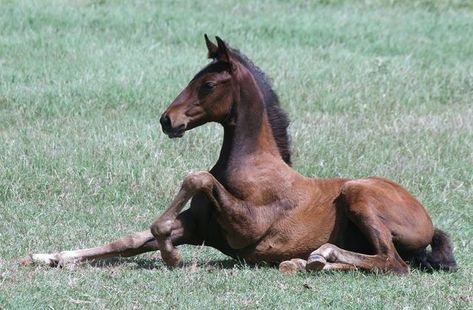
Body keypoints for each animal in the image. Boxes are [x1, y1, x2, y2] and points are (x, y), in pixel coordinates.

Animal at [24, 35, 456, 274]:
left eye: (208, 84)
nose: (167, 120)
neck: (250, 167)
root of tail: (430, 222)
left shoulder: (247, 228)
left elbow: (195, 179)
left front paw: (171, 257)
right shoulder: (198, 228)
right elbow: (128, 239)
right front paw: (49, 256)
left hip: (358, 193)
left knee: (393, 262)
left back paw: (322, 255)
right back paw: (304, 261)